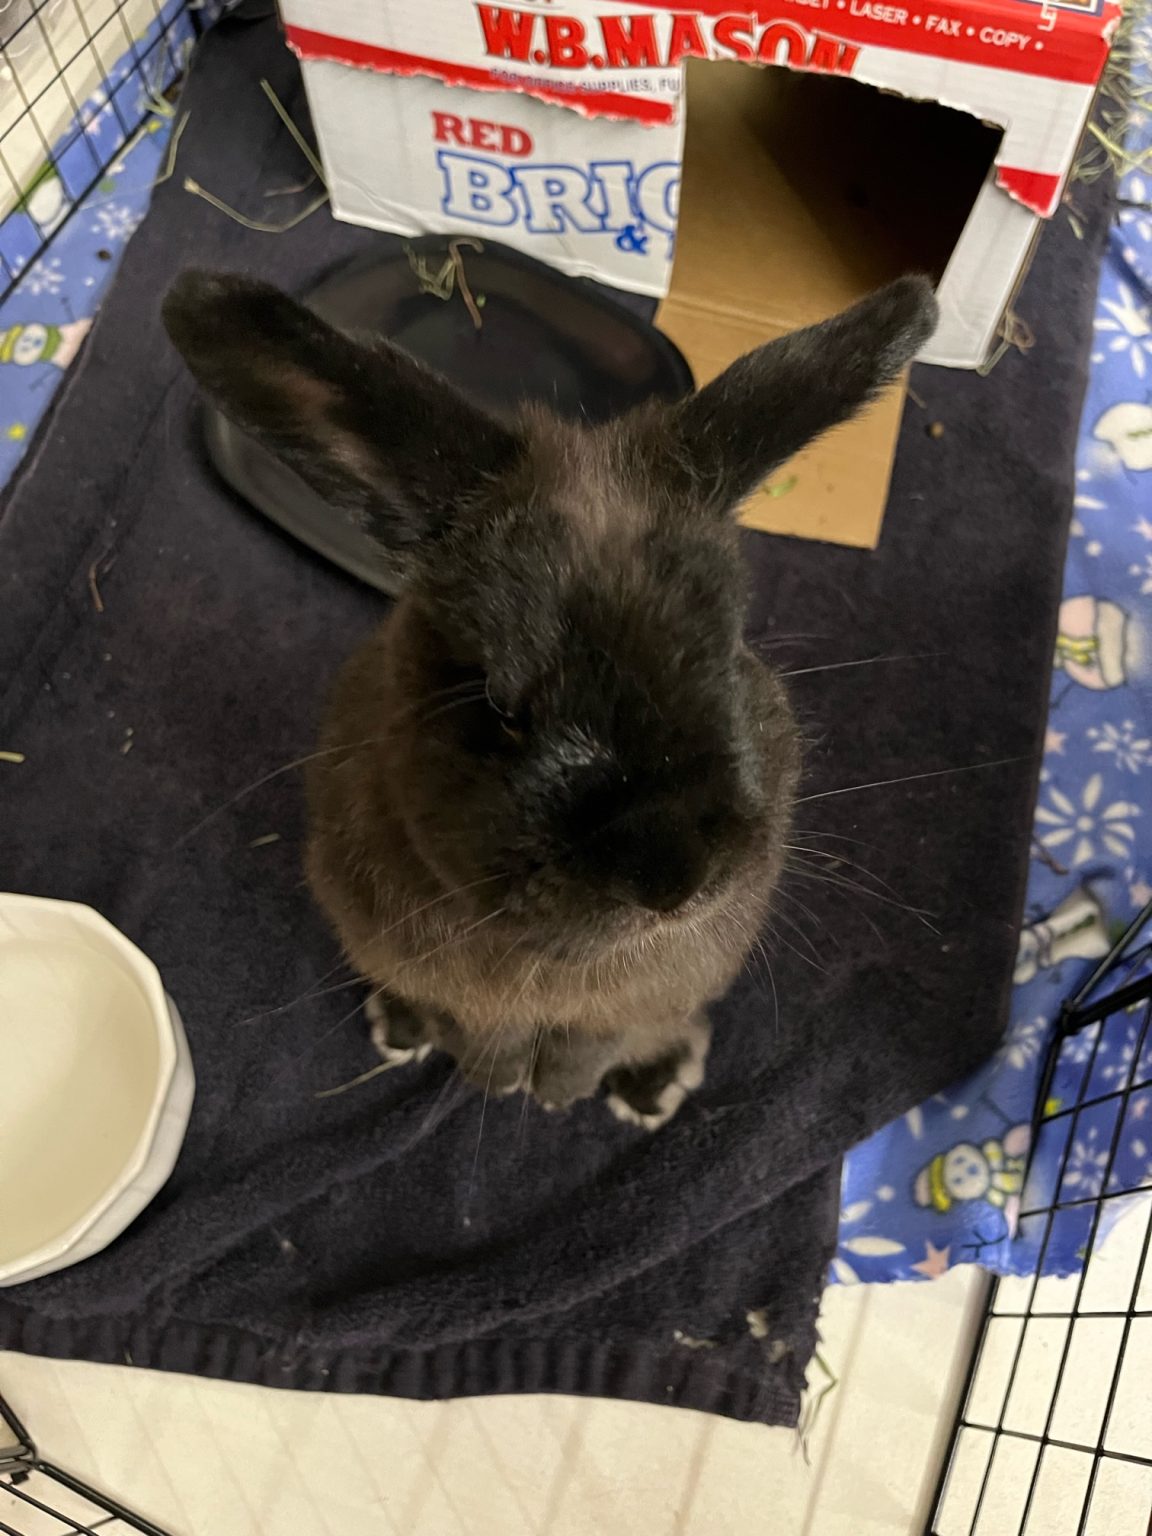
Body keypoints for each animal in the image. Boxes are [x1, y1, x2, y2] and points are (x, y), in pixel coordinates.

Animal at [162, 268, 937, 1128]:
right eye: (498, 704)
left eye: (731, 648)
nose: (674, 881)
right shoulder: (461, 991)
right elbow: (485, 1036)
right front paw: (506, 1084)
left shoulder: (634, 1001)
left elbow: (596, 1041)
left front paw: (559, 1093)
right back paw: (402, 1028)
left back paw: (653, 1086)